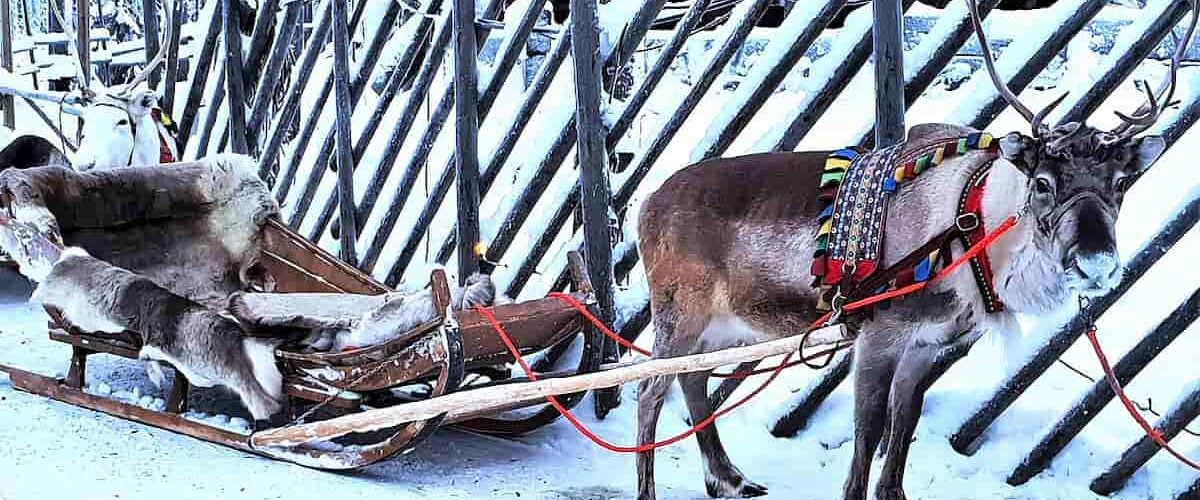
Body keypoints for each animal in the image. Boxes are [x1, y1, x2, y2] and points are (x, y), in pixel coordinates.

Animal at [632, 0, 1195, 498]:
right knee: (649, 391)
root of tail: (646, 205)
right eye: (1042, 182)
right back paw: (652, 489)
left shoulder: (929, 345)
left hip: (726, 324)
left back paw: (729, 478)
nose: (1096, 263)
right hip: (680, 313)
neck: (975, 227)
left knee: (693, 380)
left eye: (1120, 183)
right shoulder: (881, 334)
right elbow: (867, 434)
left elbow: (902, 430)